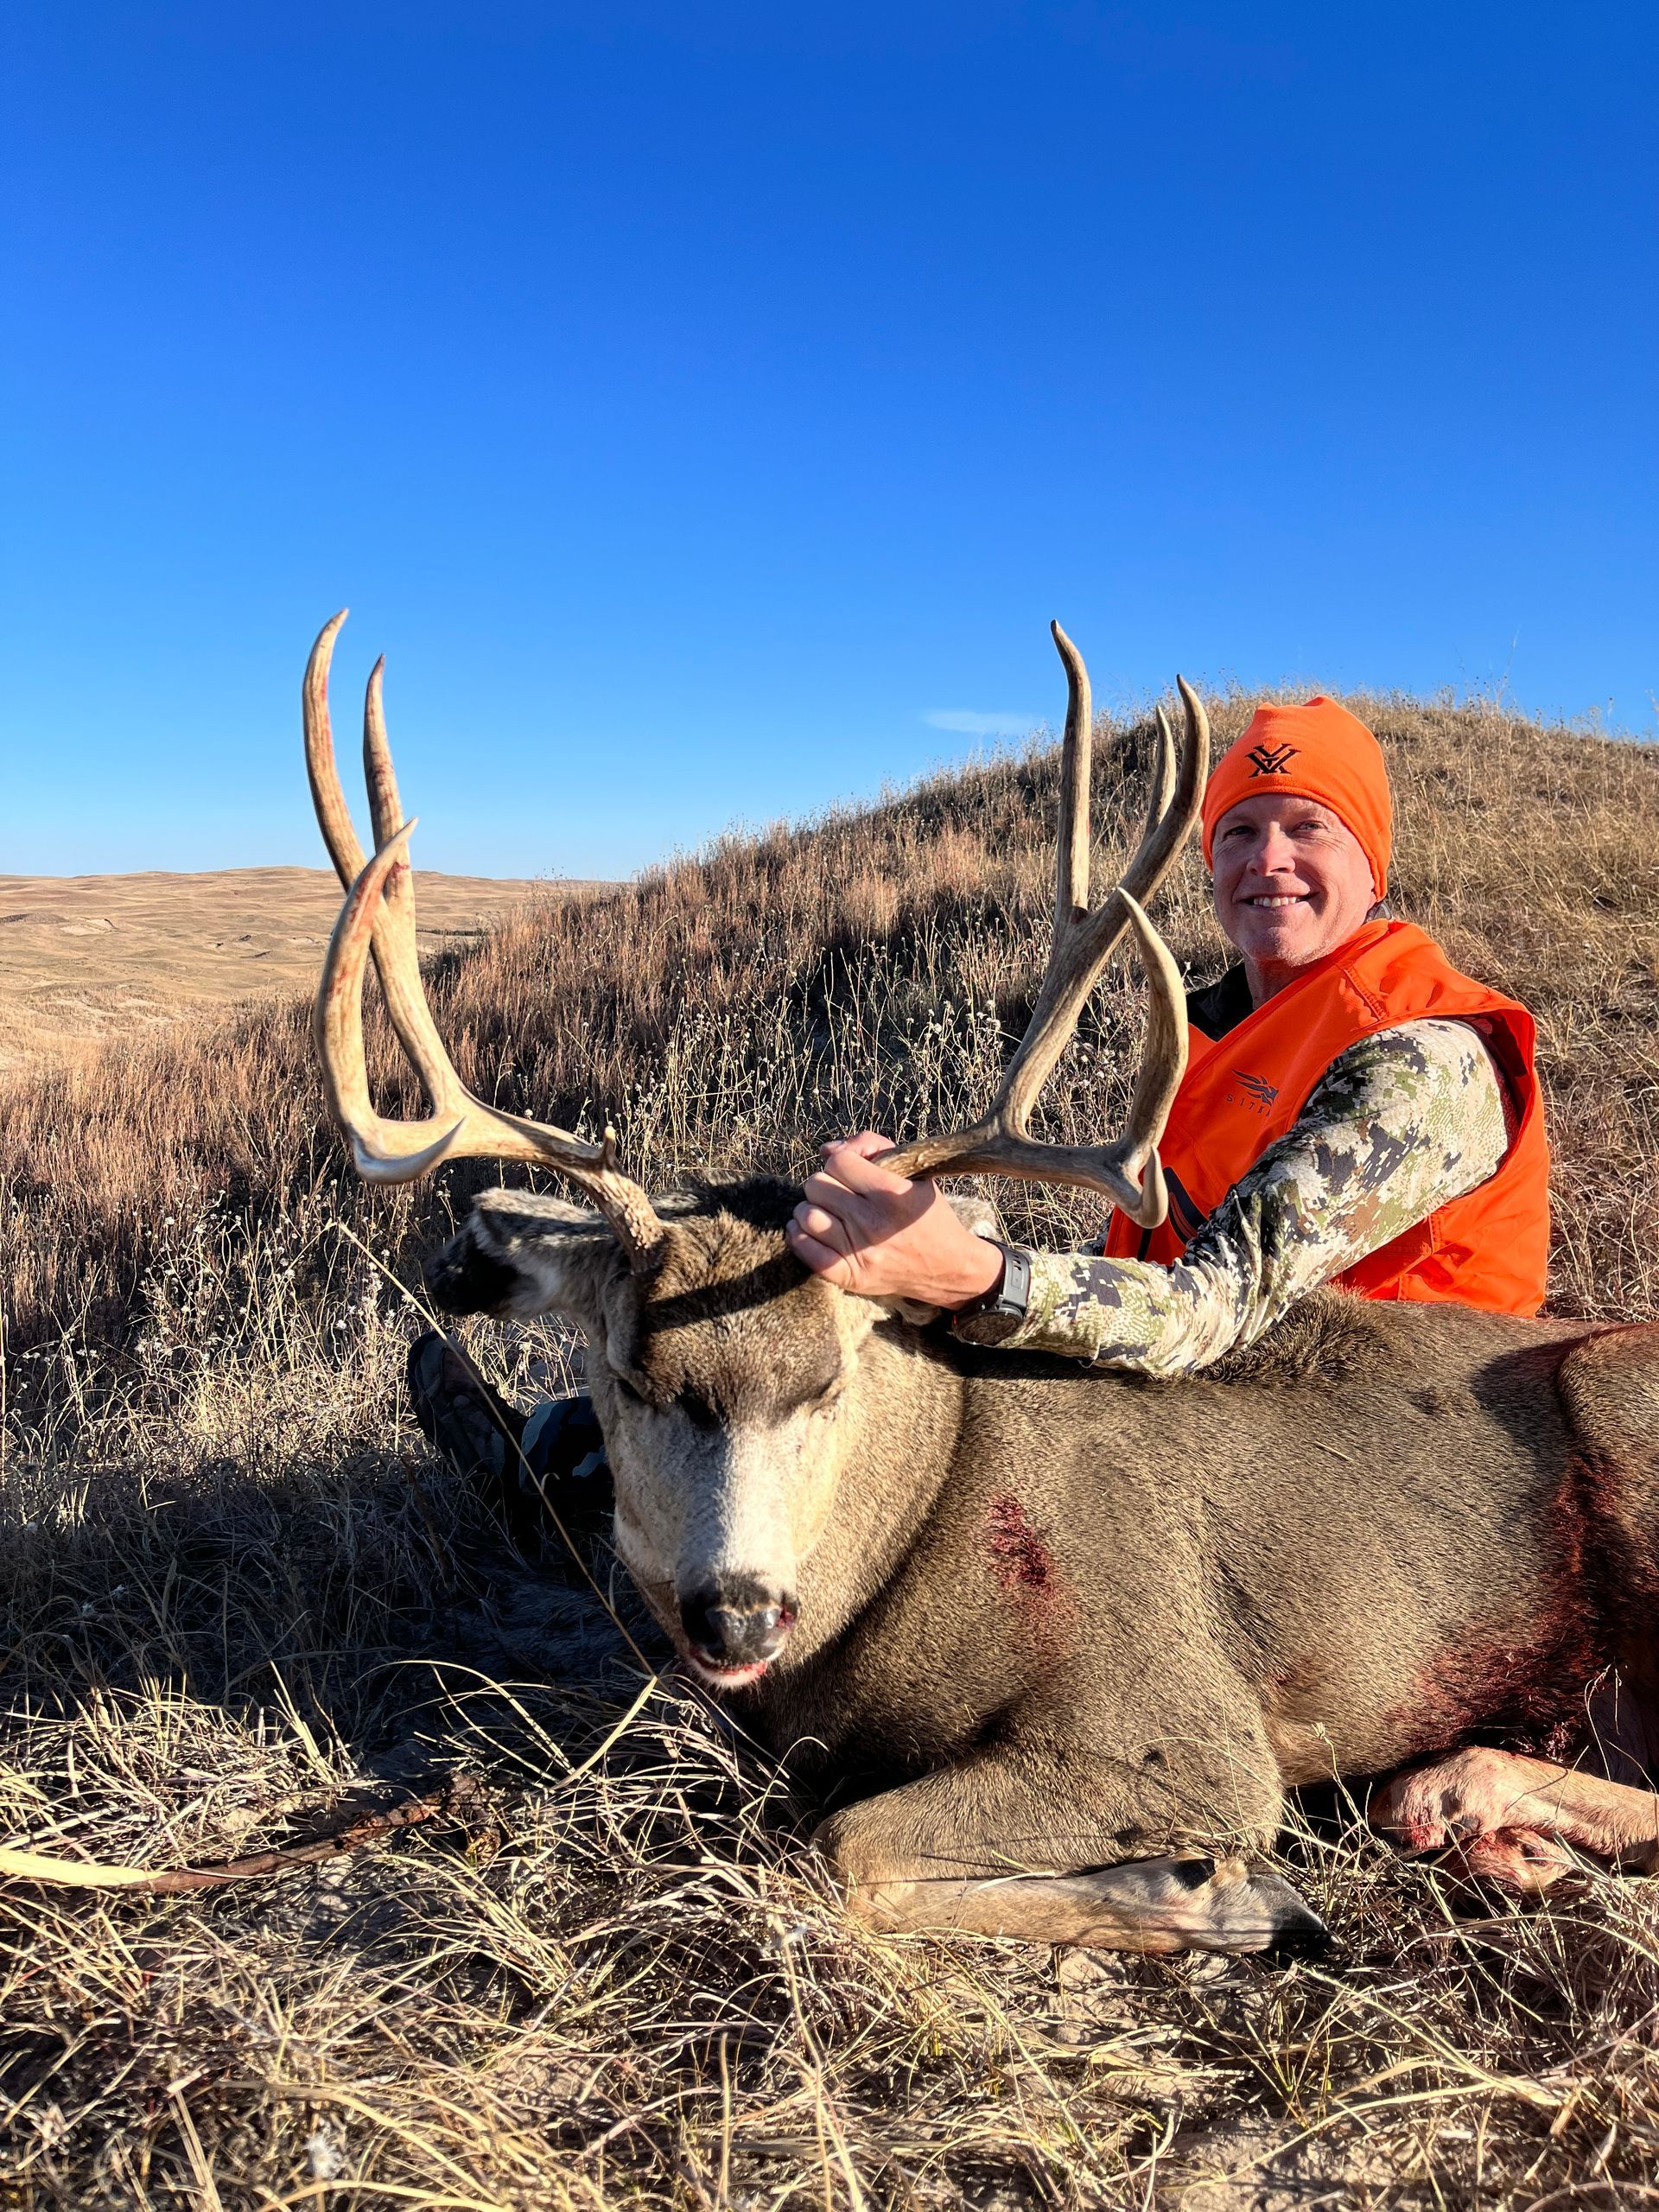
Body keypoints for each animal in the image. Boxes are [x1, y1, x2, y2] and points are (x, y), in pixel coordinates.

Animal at [303, 612, 1659, 1954]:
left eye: (830, 1384)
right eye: (628, 1377)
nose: (735, 1613)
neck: (925, 1518)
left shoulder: (1183, 1729)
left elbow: (846, 1847)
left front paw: (1222, 1896)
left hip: (1617, 1409)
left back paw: (1460, 1795)